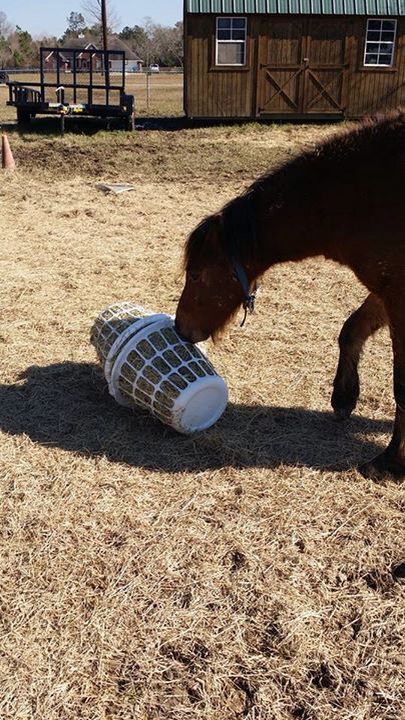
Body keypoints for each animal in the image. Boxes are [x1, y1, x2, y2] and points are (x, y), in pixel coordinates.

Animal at [175, 111, 404, 478]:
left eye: (195, 274)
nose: (179, 327)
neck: (364, 197)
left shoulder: (398, 294)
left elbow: (401, 384)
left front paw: (392, 462)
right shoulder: (386, 289)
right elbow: (351, 330)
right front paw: (343, 398)